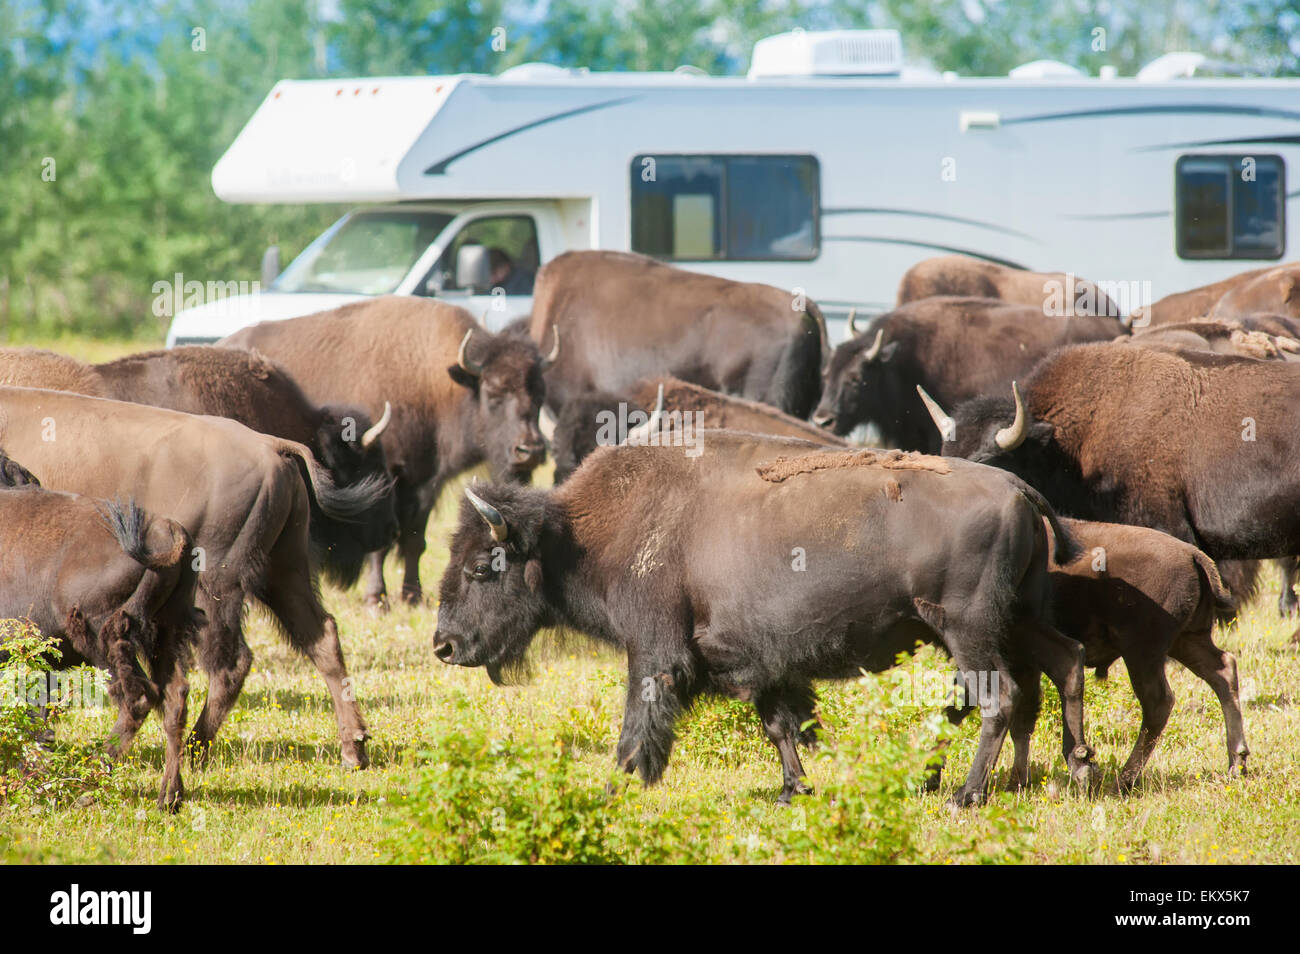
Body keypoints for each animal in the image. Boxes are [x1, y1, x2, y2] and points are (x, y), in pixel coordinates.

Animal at [221, 296, 551, 609]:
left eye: (540, 393)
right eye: (493, 392)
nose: (531, 450)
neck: (431, 381)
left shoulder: (422, 483)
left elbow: (414, 540)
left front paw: (412, 595)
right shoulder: (386, 481)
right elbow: (380, 545)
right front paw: (376, 600)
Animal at [433, 432, 1099, 806]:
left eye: (480, 567)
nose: (443, 646)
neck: (579, 537)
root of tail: (1017, 487)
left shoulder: (653, 654)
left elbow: (635, 731)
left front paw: (610, 790)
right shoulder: (756, 661)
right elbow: (780, 725)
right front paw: (792, 790)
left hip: (968, 629)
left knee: (999, 697)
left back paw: (966, 795)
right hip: (1016, 618)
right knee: (1065, 661)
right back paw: (1080, 768)